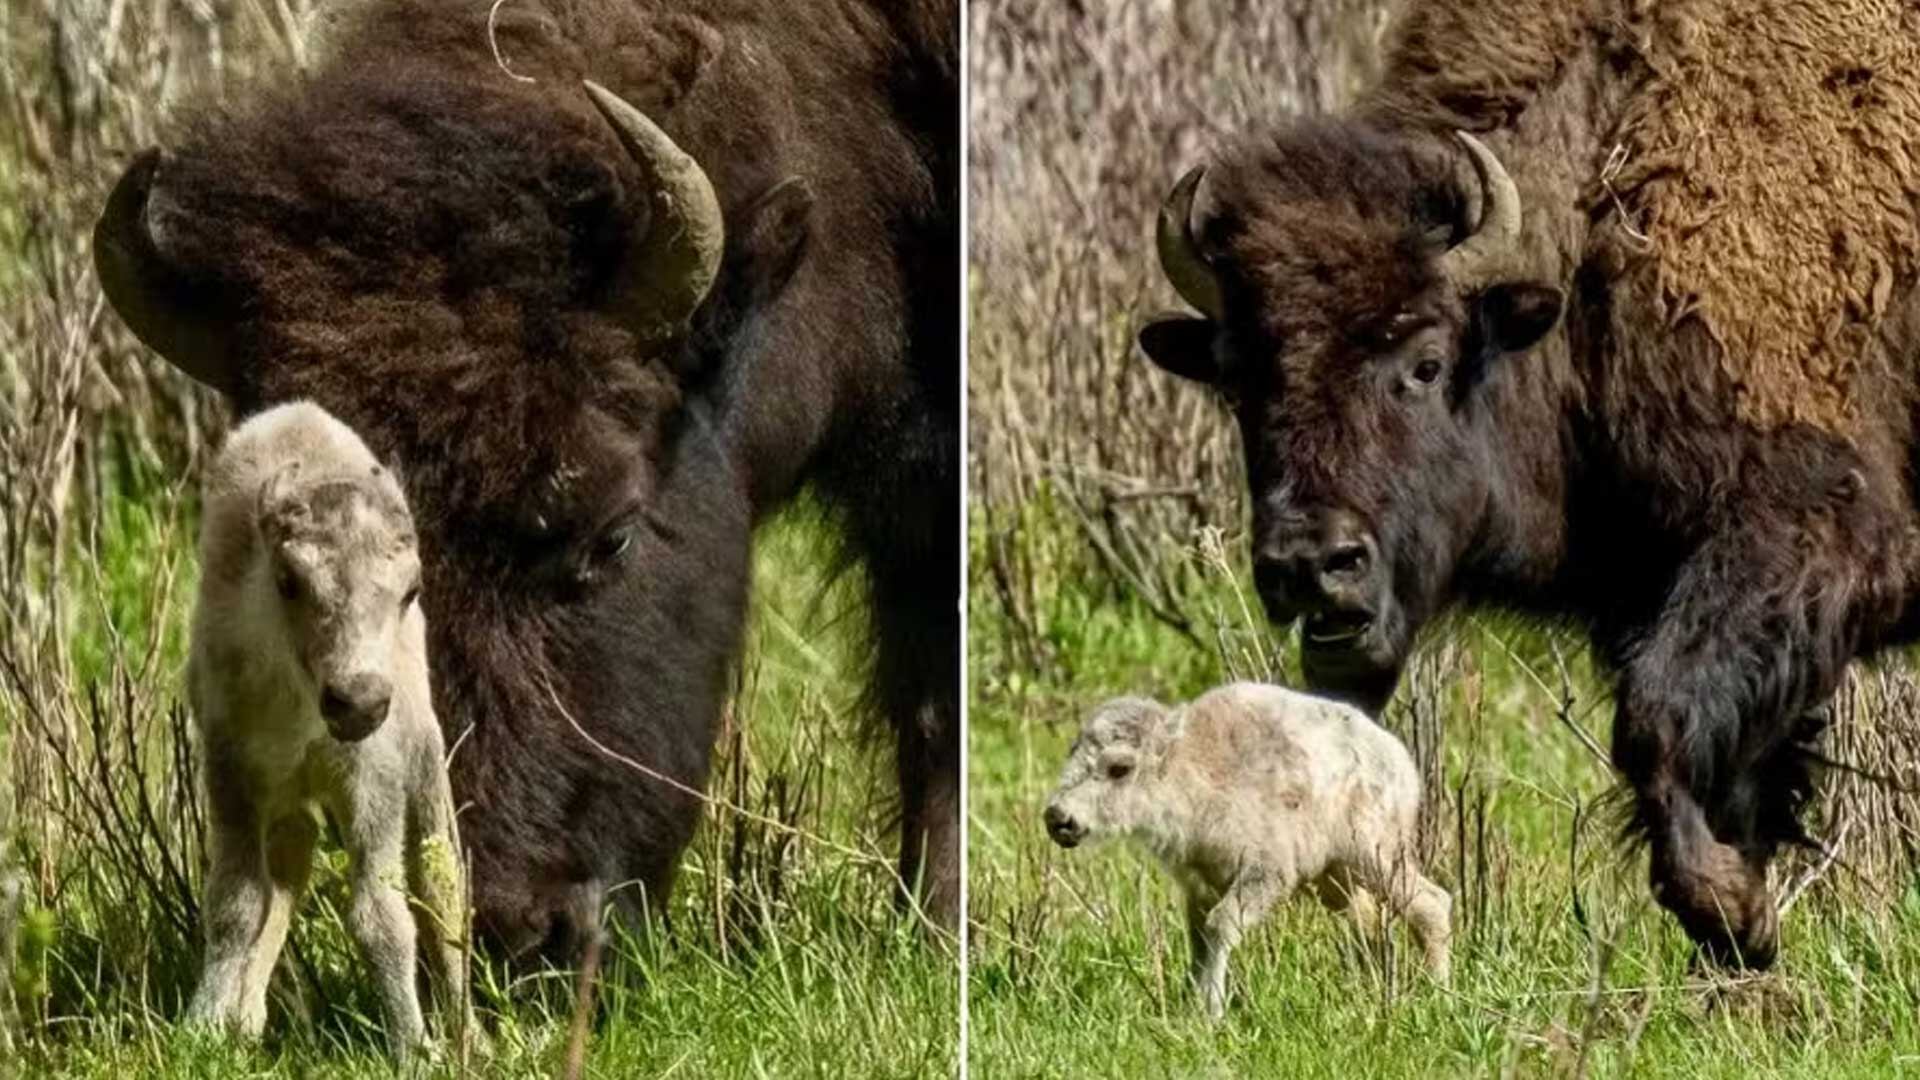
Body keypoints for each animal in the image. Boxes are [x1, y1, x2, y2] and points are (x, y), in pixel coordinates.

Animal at [1138, 0, 1920, 966]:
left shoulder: (1816, 536)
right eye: (1238, 381)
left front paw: (1728, 909)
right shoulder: (1655, 590)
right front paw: (1740, 927)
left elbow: (1656, 721)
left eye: (1426, 361)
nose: (1312, 564)